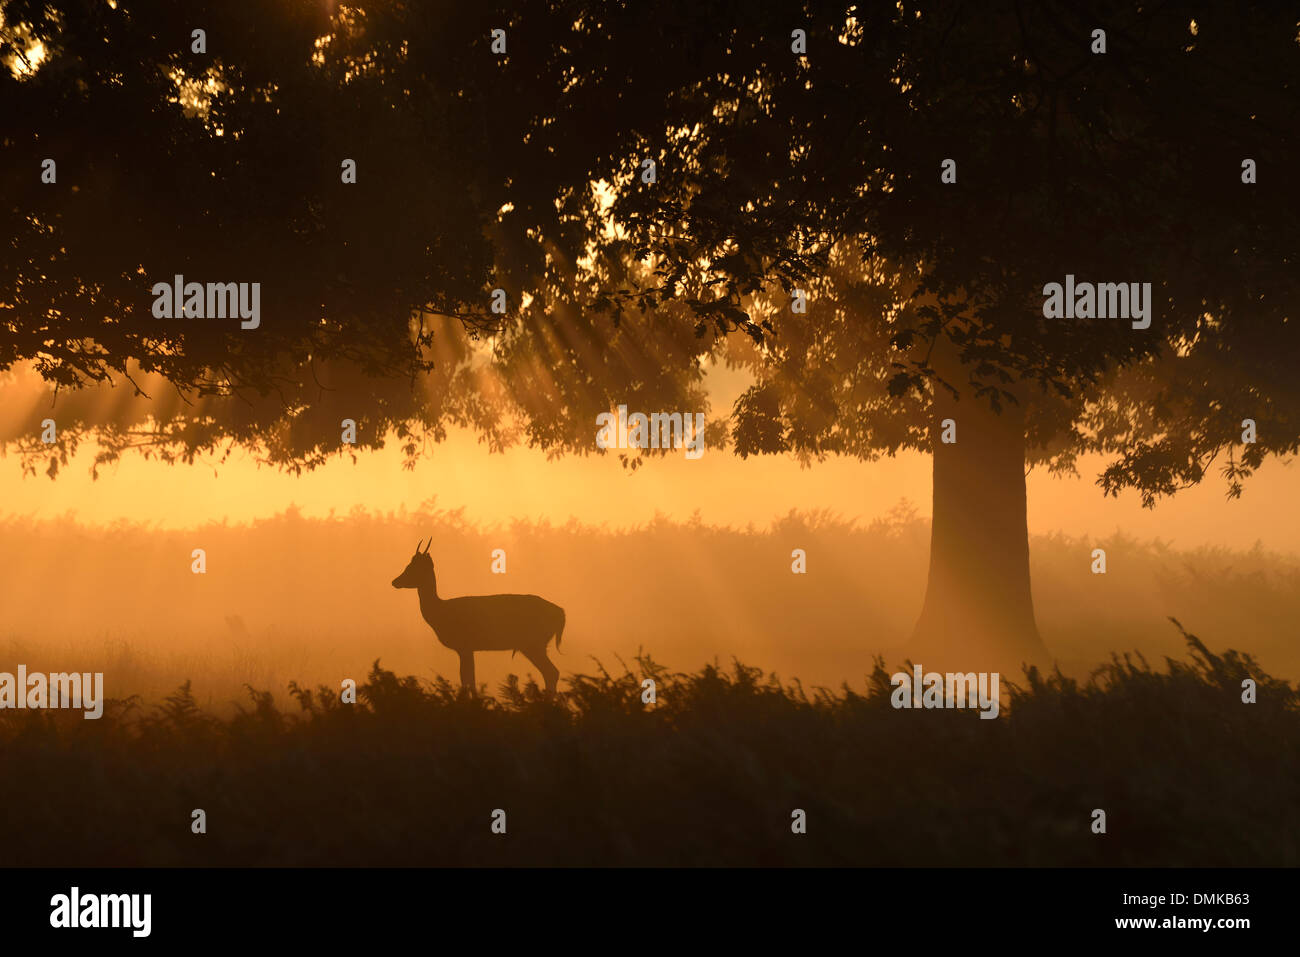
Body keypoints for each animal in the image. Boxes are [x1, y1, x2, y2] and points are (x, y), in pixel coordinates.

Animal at [387, 538, 566, 696]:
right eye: (409, 565)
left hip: (533, 643)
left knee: (552, 672)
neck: (441, 613)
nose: (395, 581)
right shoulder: (468, 648)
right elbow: (469, 678)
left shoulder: (464, 645)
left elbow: (467, 679)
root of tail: (561, 613)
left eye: (413, 567)